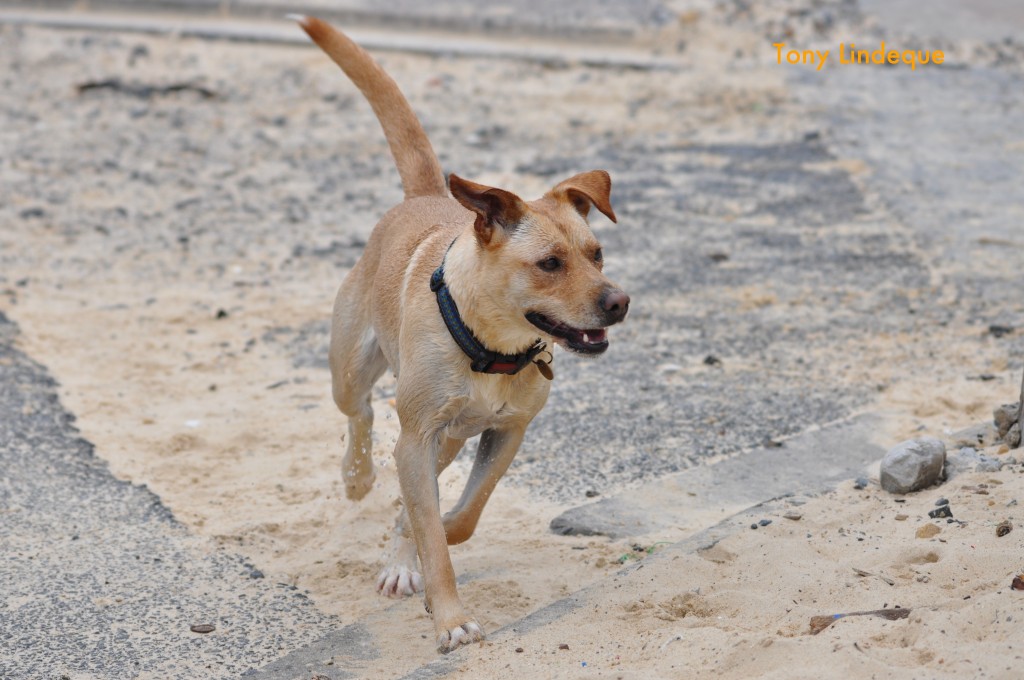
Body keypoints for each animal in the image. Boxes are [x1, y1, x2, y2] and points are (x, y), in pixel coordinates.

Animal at [290, 15, 630, 655]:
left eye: (596, 253)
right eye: (550, 264)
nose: (618, 303)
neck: (490, 348)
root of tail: (424, 196)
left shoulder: (506, 432)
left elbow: (460, 520)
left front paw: (430, 540)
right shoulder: (417, 436)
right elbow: (432, 534)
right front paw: (449, 619)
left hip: (447, 438)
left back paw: (402, 549)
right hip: (355, 372)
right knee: (361, 413)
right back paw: (358, 477)